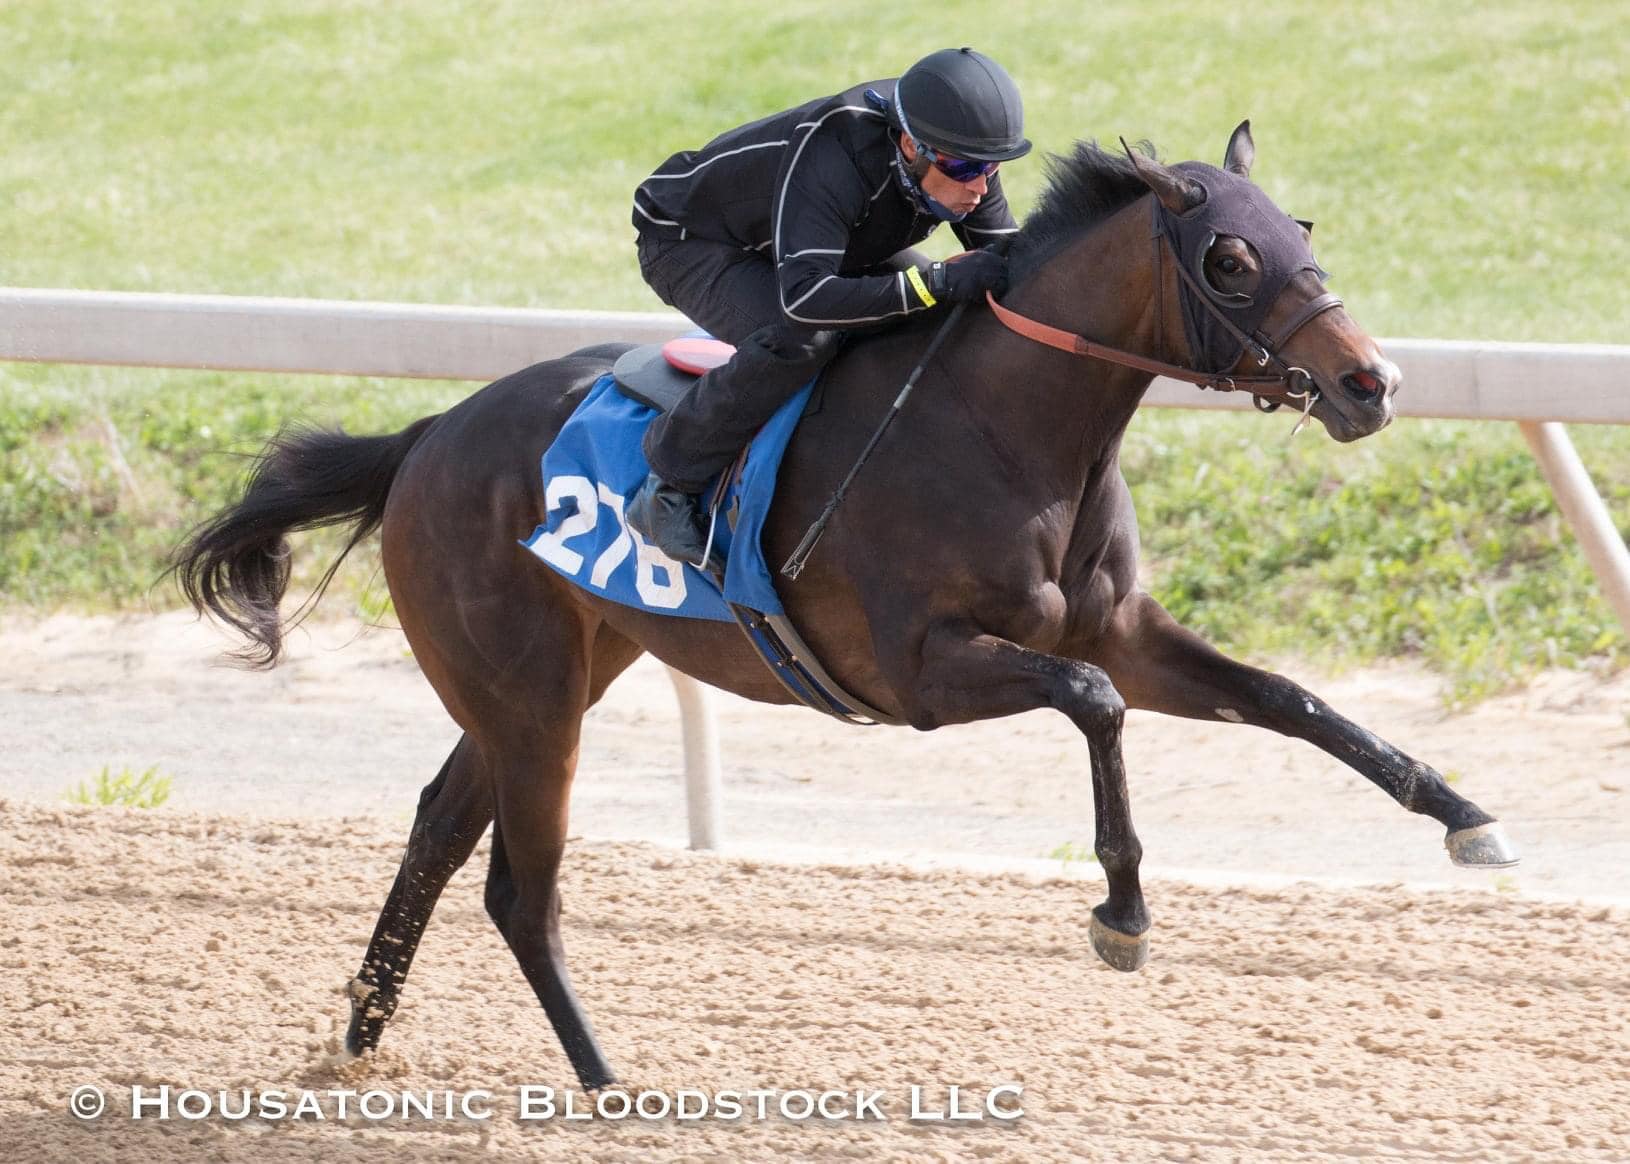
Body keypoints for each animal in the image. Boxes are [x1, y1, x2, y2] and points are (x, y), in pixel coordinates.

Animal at [171, 124, 1516, 1090]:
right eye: (1231, 259)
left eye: (1299, 229)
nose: (1372, 382)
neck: (1009, 428)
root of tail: (426, 437)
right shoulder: (920, 672)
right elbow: (1091, 707)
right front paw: (1122, 911)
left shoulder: (1121, 633)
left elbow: (1288, 699)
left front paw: (1464, 815)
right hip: (530, 698)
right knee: (517, 888)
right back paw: (603, 1080)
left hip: (550, 675)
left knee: (439, 831)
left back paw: (357, 1037)